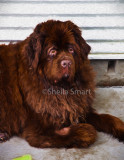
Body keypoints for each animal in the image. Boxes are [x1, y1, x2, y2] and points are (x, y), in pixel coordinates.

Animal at [0, 20, 124, 149]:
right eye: (52, 51)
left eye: (71, 50)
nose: (67, 63)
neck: (61, 89)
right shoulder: (38, 130)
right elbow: (85, 132)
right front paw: (86, 130)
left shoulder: (77, 108)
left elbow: (107, 118)